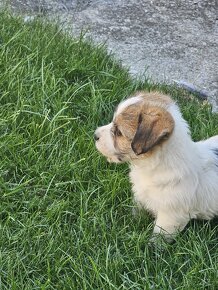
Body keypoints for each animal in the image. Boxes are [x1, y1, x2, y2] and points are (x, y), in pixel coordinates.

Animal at [94, 92, 218, 241]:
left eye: (119, 132)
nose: (95, 135)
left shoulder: (169, 216)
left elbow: (159, 237)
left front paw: (151, 246)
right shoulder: (141, 196)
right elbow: (137, 210)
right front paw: (132, 221)